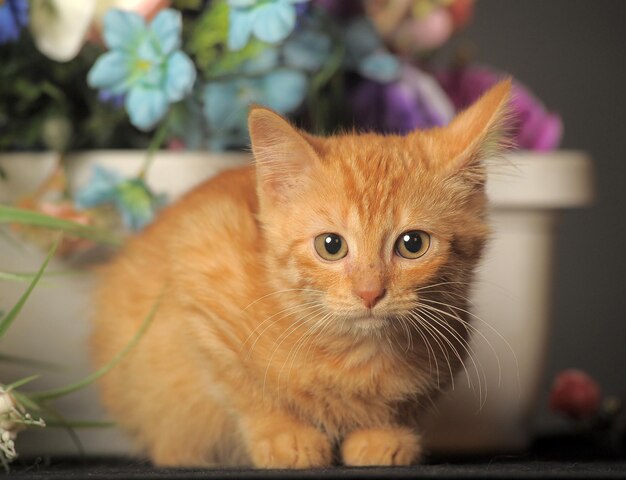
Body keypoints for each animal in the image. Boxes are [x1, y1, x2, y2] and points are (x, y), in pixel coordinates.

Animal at [91, 79, 512, 468]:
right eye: (331, 245)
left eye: (412, 244)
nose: (370, 292)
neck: (354, 354)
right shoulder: (201, 263)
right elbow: (244, 387)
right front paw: (285, 436)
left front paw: (382, 434)